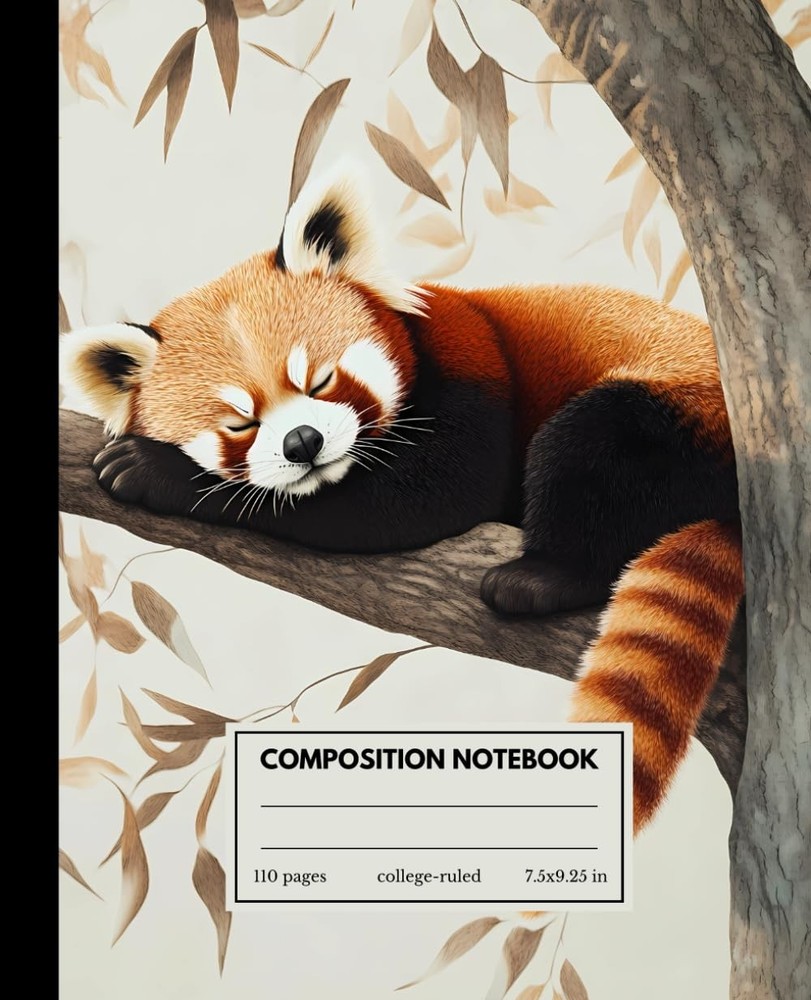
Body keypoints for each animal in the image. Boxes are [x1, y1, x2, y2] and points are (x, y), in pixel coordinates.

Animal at [60, 162, 743, 832]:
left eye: (321, 380)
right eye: (240, 424)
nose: (303, 441)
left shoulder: (474, 364)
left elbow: (428, 494)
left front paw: (159, 472)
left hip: (681, 413)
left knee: (591, 442)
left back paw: (542, 576)